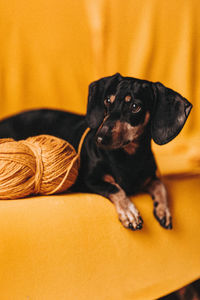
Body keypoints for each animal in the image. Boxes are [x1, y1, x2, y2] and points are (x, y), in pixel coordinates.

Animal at [0, 74, 192, 231]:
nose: (99, 138)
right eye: (108, 100)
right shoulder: (88, 180)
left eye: (135, 106)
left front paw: (163, 210)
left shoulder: (149, 177)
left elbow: (160, 185)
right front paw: (129, 212)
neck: (128, 158)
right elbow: (114, 187)